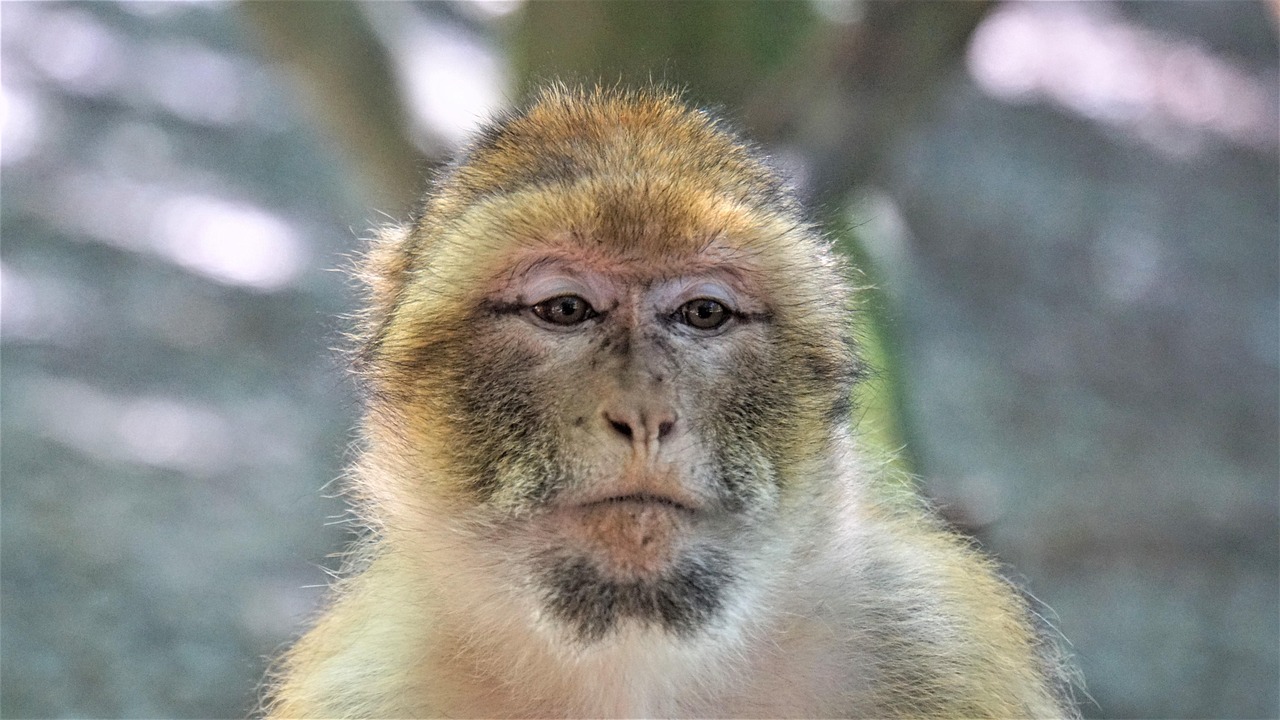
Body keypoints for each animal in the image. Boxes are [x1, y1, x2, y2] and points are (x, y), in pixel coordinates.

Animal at [263, 85, 1077, 718]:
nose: (645, 416)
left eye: (703, 314)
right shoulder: (364, 684)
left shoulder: (935, 644)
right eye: (565, 310)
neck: (635, 661)